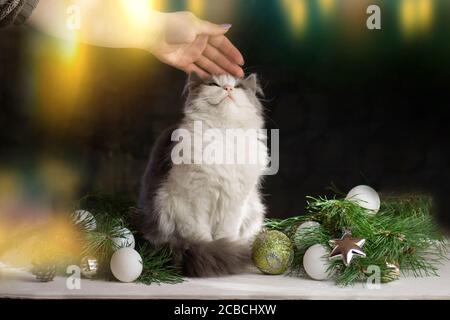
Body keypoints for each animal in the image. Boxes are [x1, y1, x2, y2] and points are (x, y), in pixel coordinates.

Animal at [135, 74, 266, 276]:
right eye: (214, 84)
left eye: (238, 86)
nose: (228, 88)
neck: (223, 134)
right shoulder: (194, 199)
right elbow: (201, 235)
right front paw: (214, 250)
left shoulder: (234, 202)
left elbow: (226, 233)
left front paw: (227, 247)